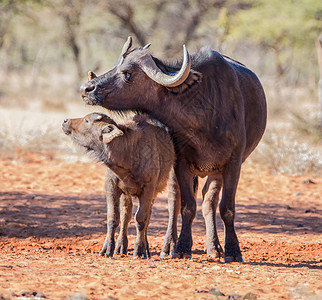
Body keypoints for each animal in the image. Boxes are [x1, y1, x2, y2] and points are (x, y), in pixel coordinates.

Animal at [80, 37, 266, 262]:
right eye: (116, 65)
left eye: (127, 73)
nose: (86, 88)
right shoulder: (181, 163)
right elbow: (186, 206)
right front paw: (182, 248)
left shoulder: (234, 162)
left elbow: (226, 208)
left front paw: (233, 250)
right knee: (174, 202)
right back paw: (169, 245)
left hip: (217, 172)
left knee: (209, 201)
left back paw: (214, 247)